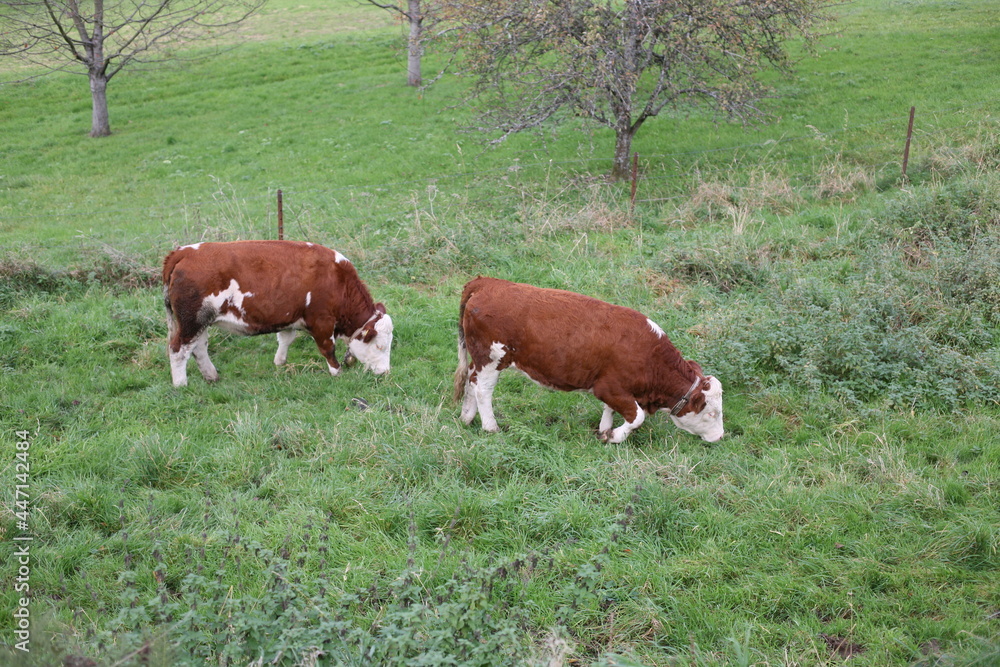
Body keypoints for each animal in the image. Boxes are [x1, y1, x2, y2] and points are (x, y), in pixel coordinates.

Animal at [162, 240, 392, 386]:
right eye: (379, 346)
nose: (385, 373)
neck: (337, 278)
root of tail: (184, 251)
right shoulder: (322, 320)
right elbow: (327, 348)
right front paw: (337, 372)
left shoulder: (290, 317)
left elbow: (286, 339)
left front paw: (279, 362)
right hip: (191, 321)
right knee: (178, 349)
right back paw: (180, 384)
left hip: (199, 321)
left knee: (199, 348)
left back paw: (211, 376)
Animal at [456, 276, 728, 444]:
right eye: (712, 413)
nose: (720, 436)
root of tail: (486, 282)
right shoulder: (609, 387)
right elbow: (637, 417)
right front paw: (614, 436)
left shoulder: (617, 389)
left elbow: (611, 410)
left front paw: (604, 430)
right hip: (491, 358)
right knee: (483, 389)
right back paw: (491, 427)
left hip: (479, 358)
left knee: (471, 380)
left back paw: (466, 418)